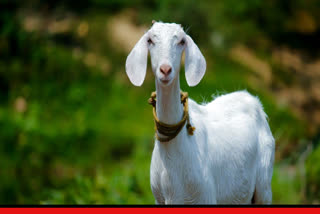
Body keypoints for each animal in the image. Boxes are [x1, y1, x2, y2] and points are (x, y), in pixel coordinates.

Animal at [125, 22, 276, 205]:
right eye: (150, 40)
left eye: (181, 41)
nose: (165, 70)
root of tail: (253, 101)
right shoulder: (159, 199)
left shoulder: (205, 196)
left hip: (264, 182)